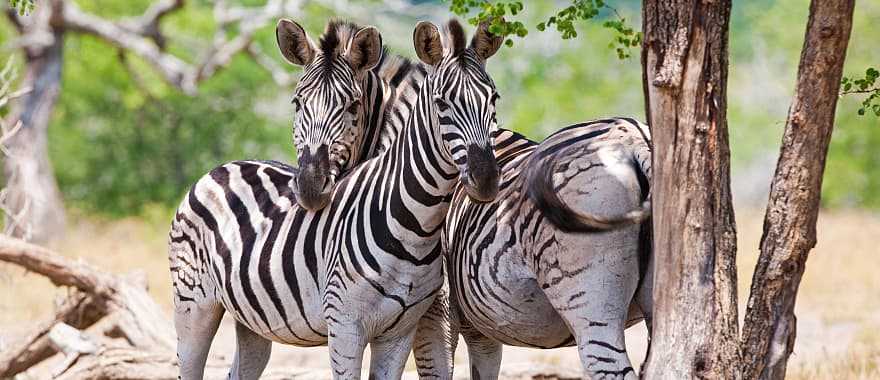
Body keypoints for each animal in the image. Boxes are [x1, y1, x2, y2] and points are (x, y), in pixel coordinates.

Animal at [168, 16, 506, 378]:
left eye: (494, 99)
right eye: (297, 103)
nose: (487, 179)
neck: (415, 224)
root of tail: (221, 167)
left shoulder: (403, 330)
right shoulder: (347, 326)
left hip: (253, 320)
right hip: (194, 304)